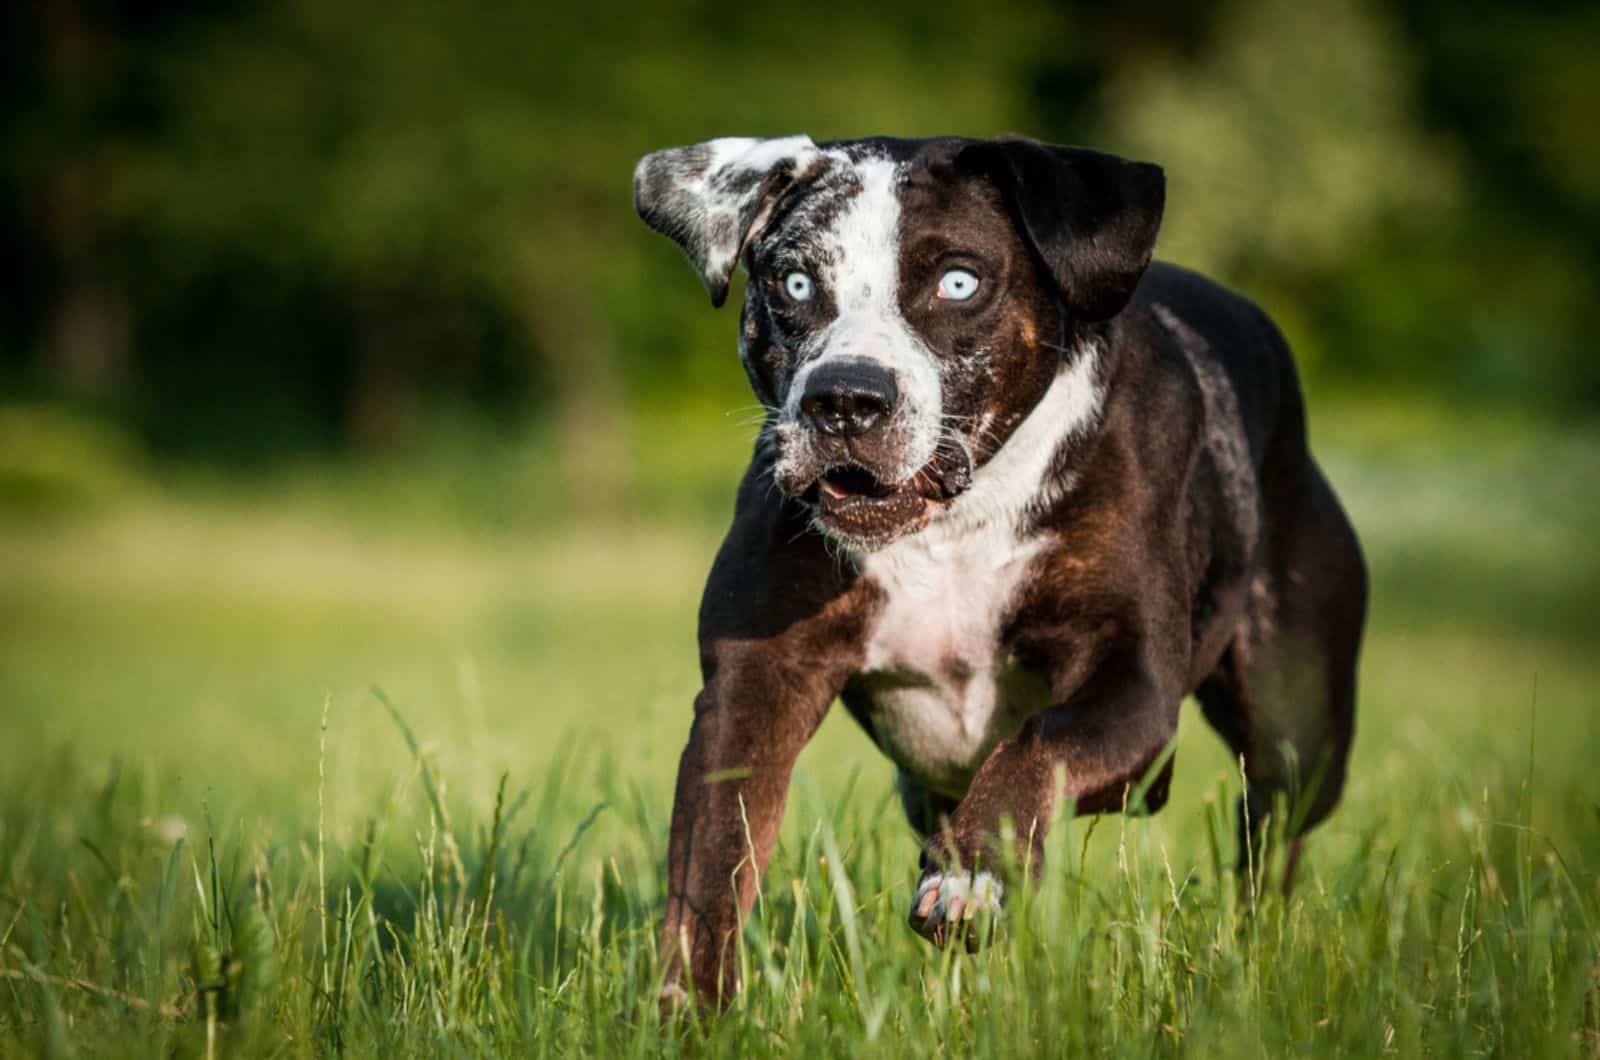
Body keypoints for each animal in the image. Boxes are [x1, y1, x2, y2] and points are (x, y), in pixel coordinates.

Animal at [630, 136, 1369, 1011]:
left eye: (960, 281)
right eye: (795, 282)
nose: (845, 398)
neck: (950, 526)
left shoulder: (1133, 683)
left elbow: (1039, 741)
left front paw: (970, 877)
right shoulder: (755, 683)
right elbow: (712, 866)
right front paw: (692, 1011)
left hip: (1299, 727)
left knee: (1272, 835)